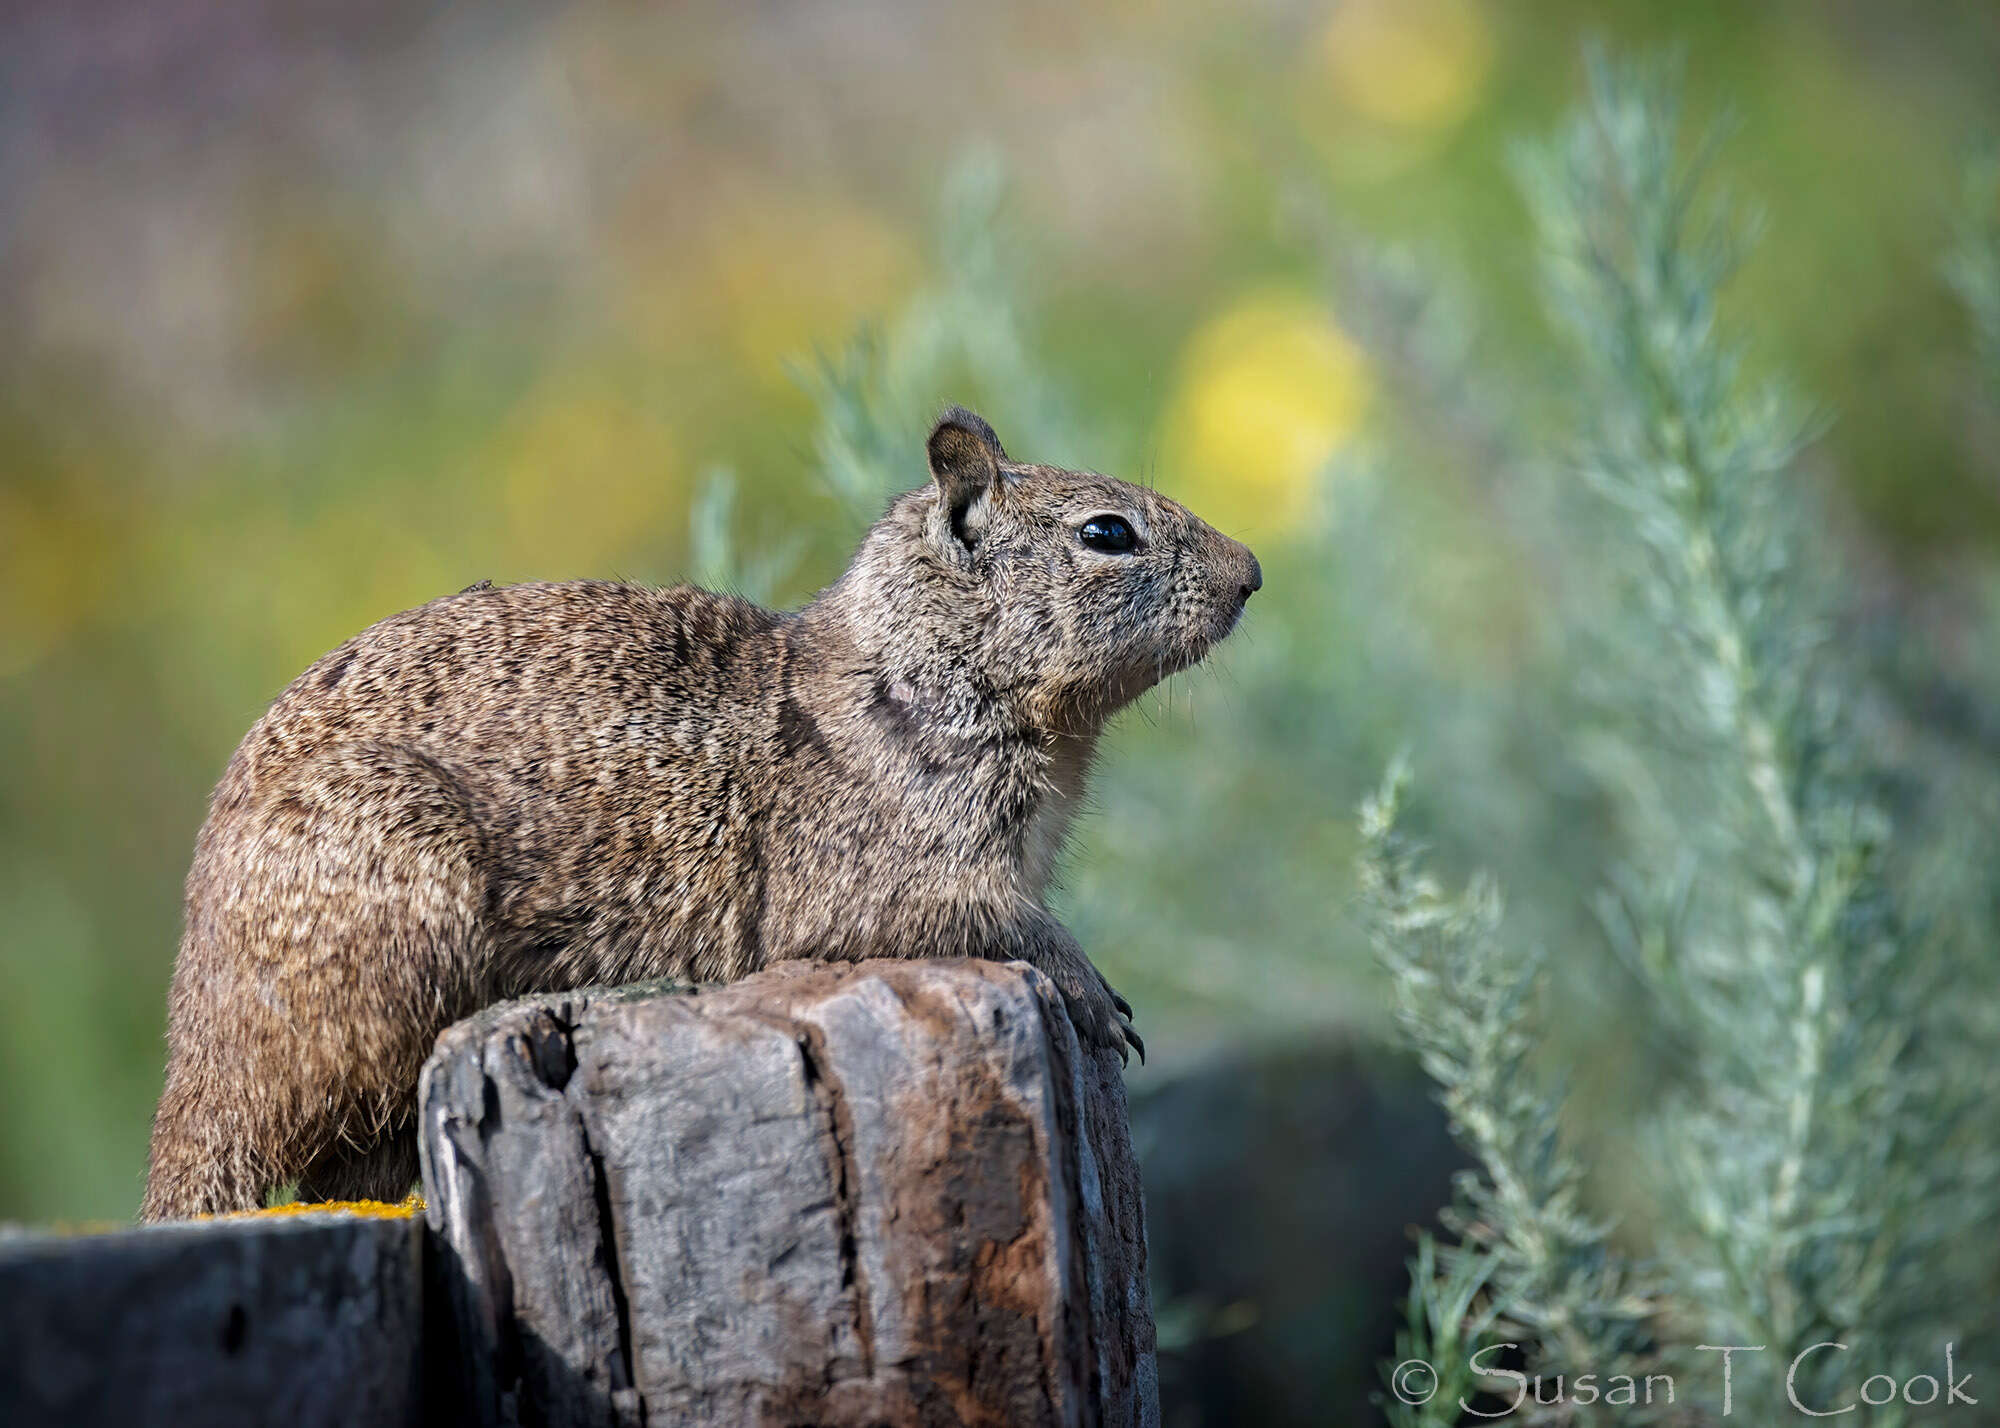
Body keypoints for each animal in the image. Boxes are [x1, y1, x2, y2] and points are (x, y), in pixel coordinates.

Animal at [141, 406, 1264, 1216]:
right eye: (1106, 533)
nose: (1252, 572)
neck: (906, 673)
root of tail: (195, 1071)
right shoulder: (895, 876)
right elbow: (1004, 924)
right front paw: (1094, 992)